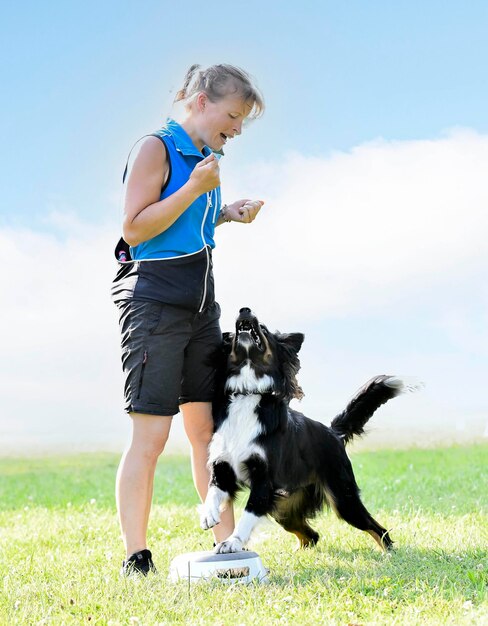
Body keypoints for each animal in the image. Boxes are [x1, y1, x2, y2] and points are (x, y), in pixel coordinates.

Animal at [200, 306, 422, 552]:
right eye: (230, 337)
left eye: (264, 328)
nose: (244, 310)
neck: (248, 394)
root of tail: (333, 433)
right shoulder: (223, 466)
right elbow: (212, 490)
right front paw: (208, 514)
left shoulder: (264, 481)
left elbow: (248, 514)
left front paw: (233, 542)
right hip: (285, 508)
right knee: (312, 535)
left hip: (343, 498)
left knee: (377, 529)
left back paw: (388, 553)